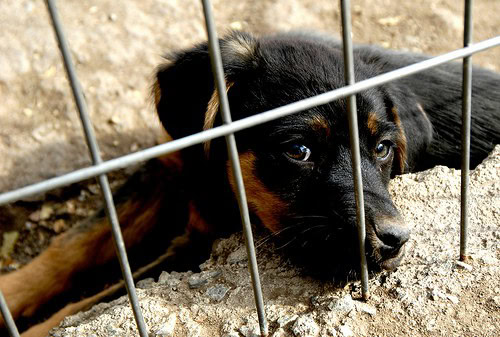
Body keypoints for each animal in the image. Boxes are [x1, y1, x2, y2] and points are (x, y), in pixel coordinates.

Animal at [0, 30, 500, 334]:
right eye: (298, 150)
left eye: (381, 149)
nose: (396, 240)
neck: (215, 172)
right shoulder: (165, 169)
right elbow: (74, 246)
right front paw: (10, 292)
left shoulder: (198, 246)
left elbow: (101, 295)